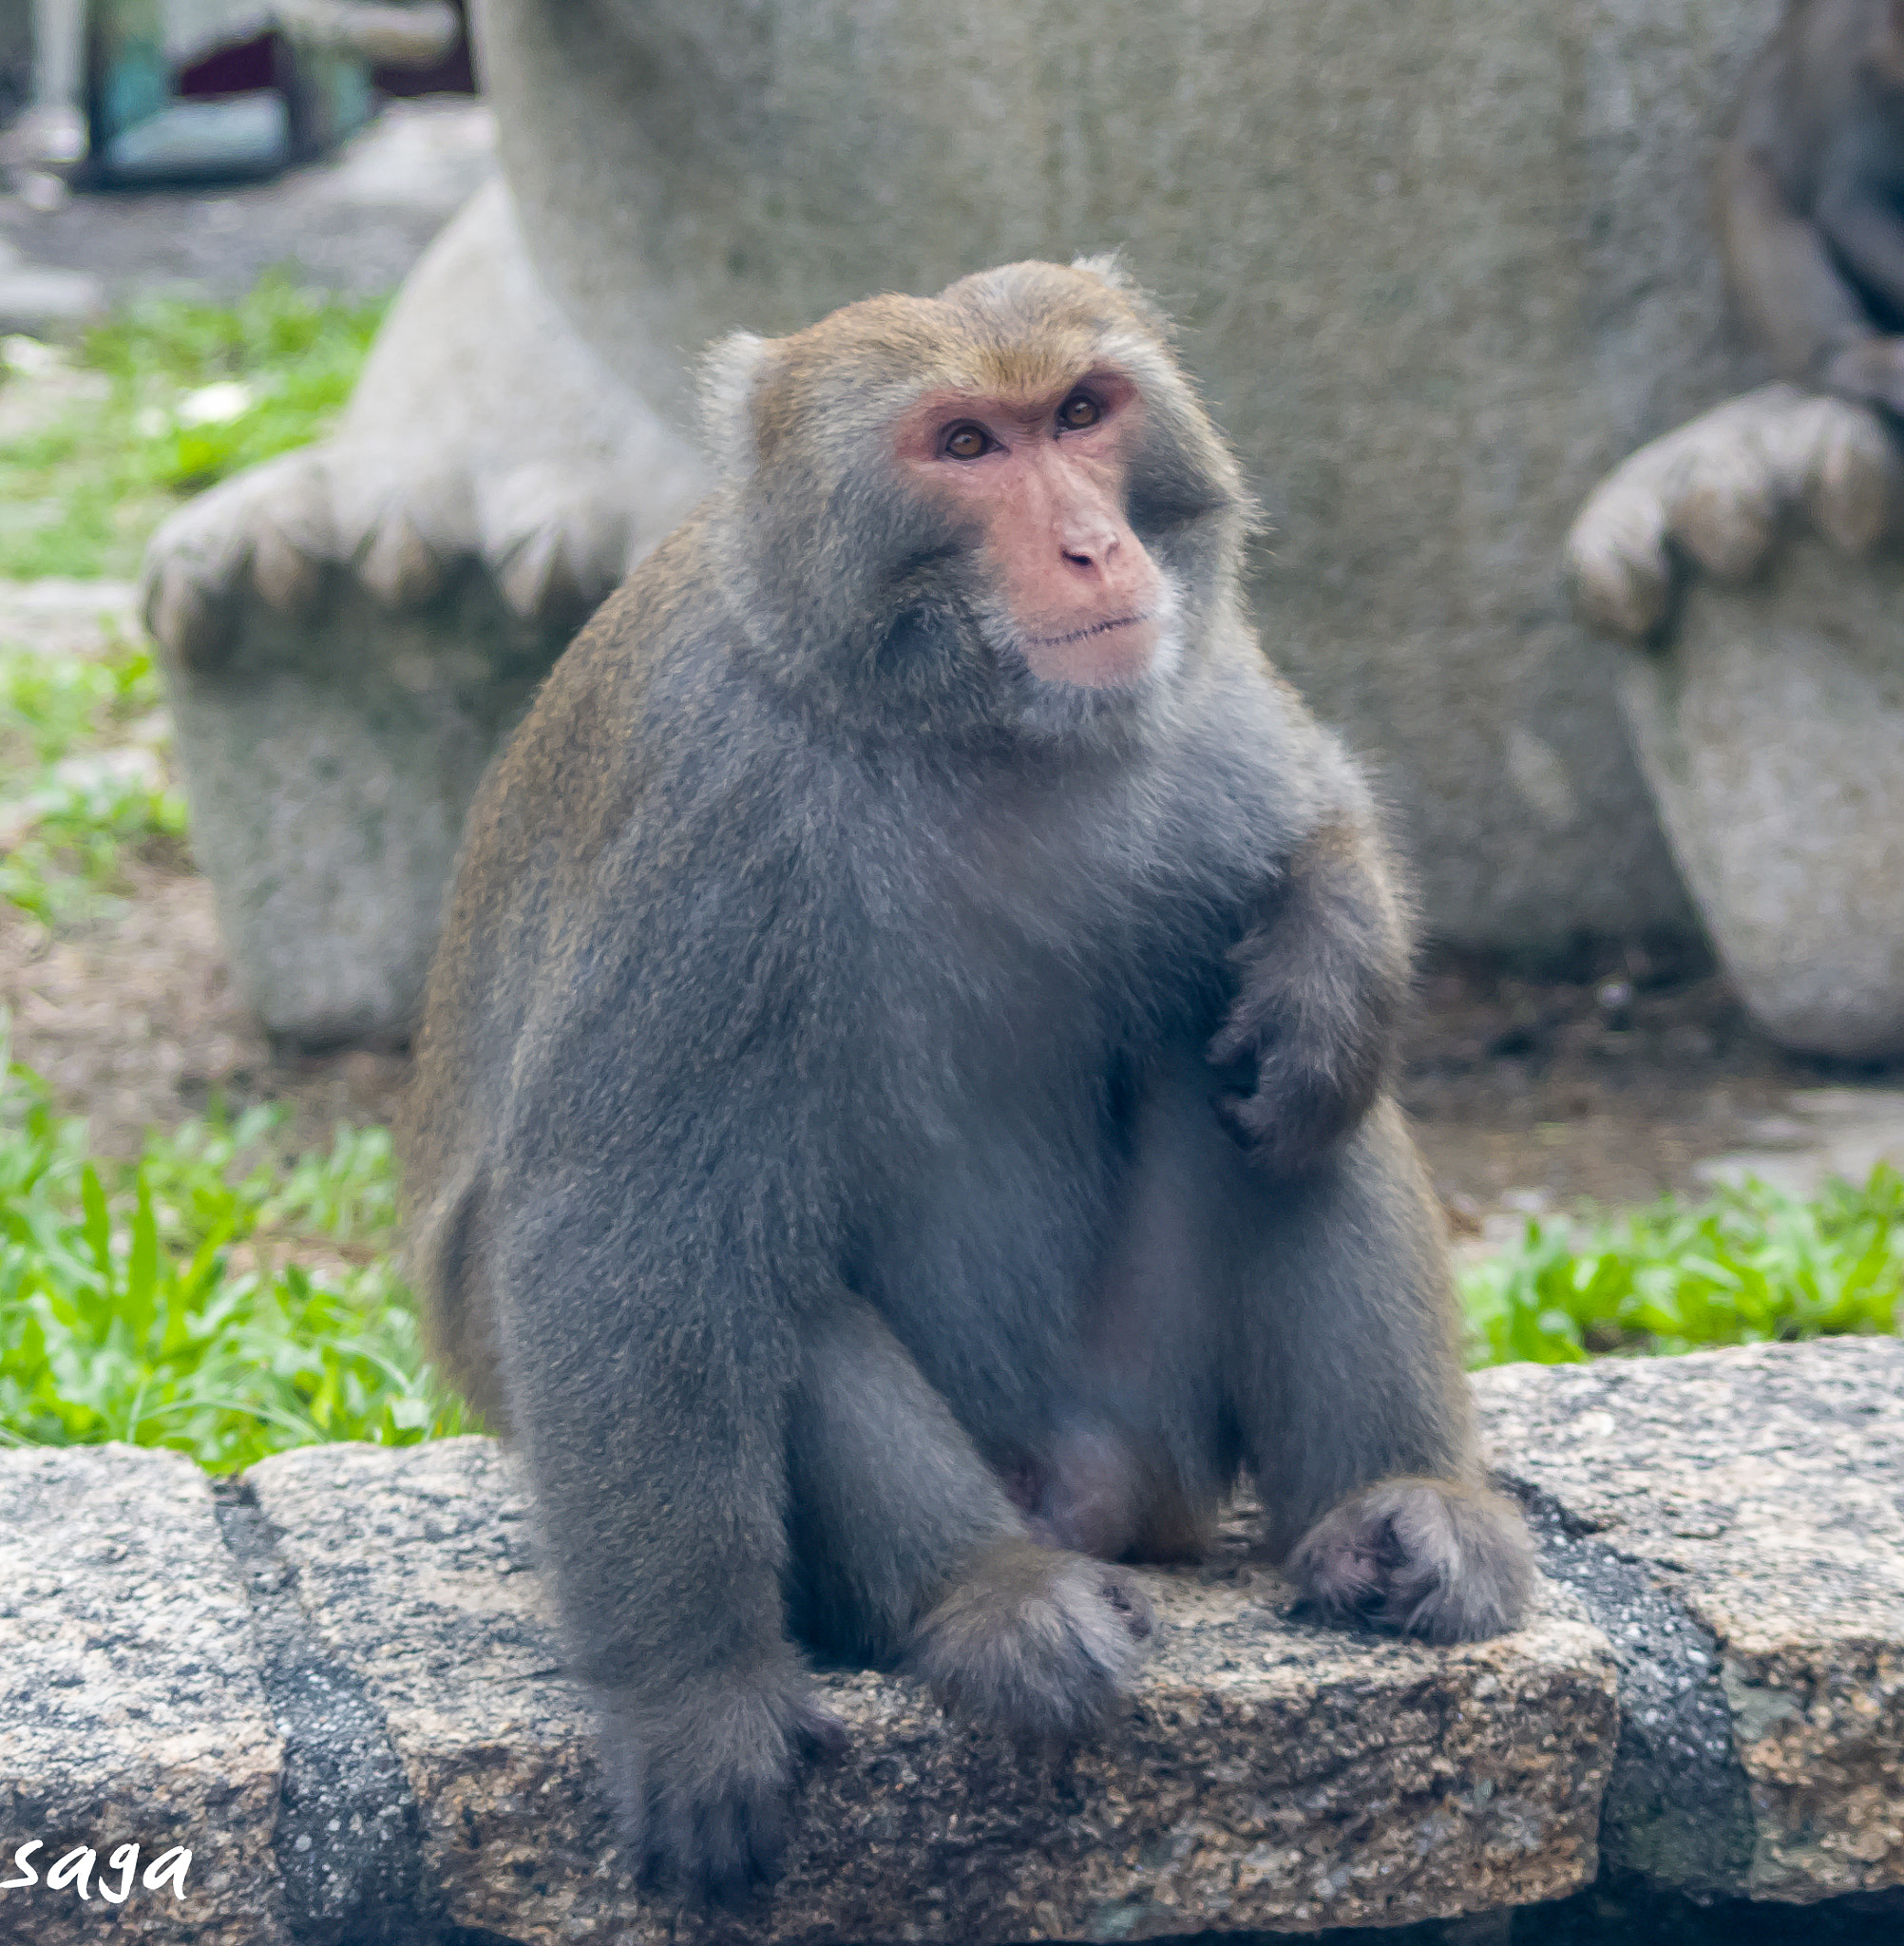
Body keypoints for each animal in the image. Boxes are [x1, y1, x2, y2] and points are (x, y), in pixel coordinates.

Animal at [397, 258, 1536, 1906]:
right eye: (964, 446)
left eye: (1082, 411)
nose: (1092, 543)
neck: (960, 724)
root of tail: (1085, 1495)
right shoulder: (707, 810)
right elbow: (616, 1234)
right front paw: (692, 1700)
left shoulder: (1188, 679)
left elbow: (1304, 823)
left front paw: (1337, 952)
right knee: (746, 1278)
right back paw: (991, 1596)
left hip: (1150, 1415)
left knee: (1280, 1106)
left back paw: (1392, 1509)